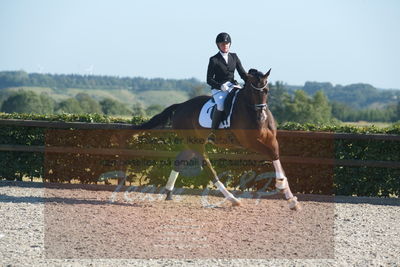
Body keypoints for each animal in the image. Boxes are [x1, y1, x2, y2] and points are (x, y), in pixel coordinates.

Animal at [134, 69, 300, 211]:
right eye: (253, 91)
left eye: (266, 91)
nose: (262, 117)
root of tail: (181, 106)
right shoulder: (249, 142)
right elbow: (272, 155)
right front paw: (281, 186)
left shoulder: (272, 140)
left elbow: (276, 156)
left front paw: (291, 198)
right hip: (197, 144)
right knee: (208, 168)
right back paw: (233, 199)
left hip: (192, 144)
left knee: (179, 161)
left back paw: (169, 193)